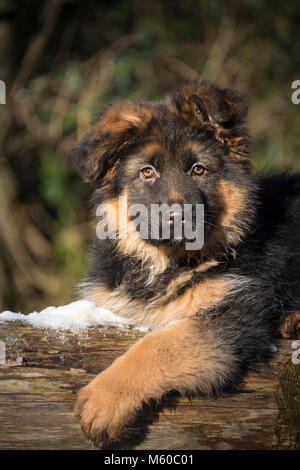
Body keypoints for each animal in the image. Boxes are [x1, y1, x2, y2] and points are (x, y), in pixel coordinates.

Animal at [72, 80, 300, 444]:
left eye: (198, 170)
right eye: (147, 172)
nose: (177, 218)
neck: (169, 263)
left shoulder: (235, 313)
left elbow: (161, 343)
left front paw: (104, 400)